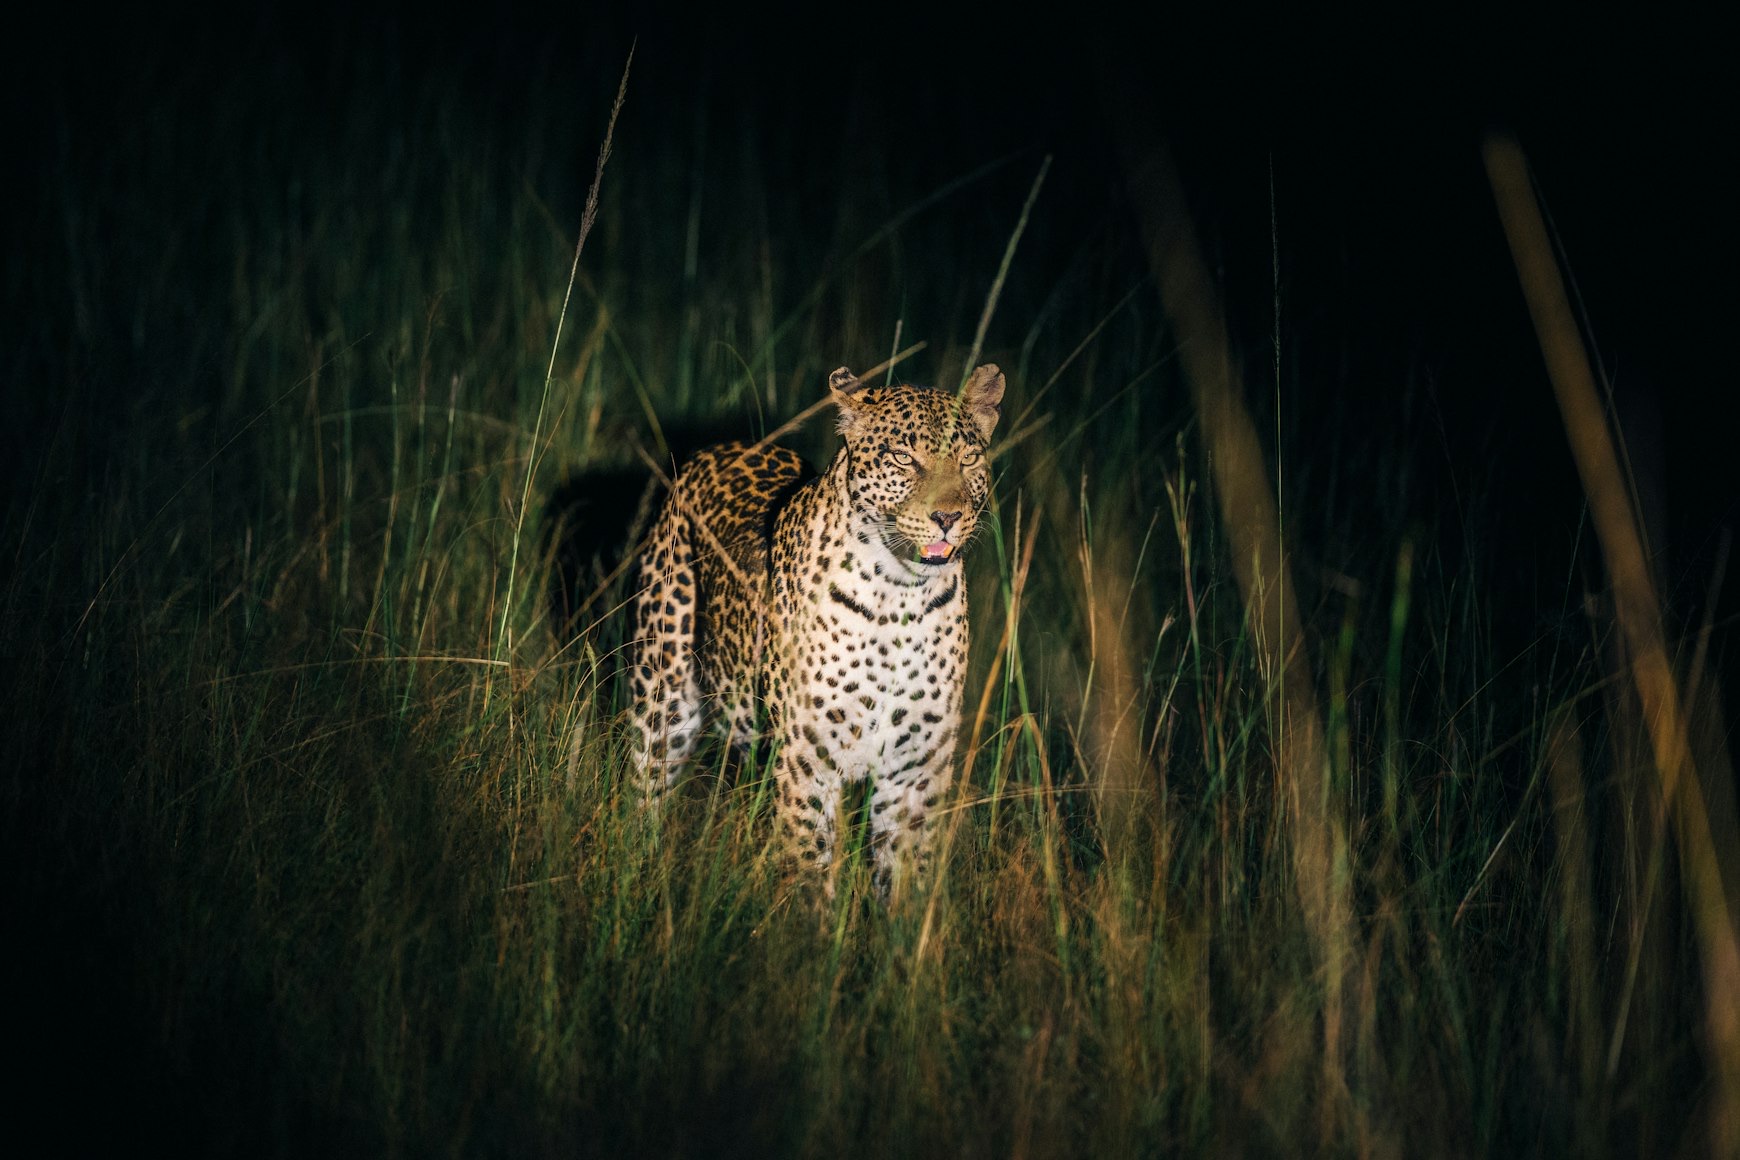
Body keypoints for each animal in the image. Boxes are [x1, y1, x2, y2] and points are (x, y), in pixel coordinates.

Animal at [627, 362, 1005, 899]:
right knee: (646, 790)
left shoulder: (914, 773)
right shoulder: (806, 762)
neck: (898, 597)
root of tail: (723, 447)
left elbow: (904, 886)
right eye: (904, 458)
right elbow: (810, 874)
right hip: (663, 693)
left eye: (969, 458)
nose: (948, 517)